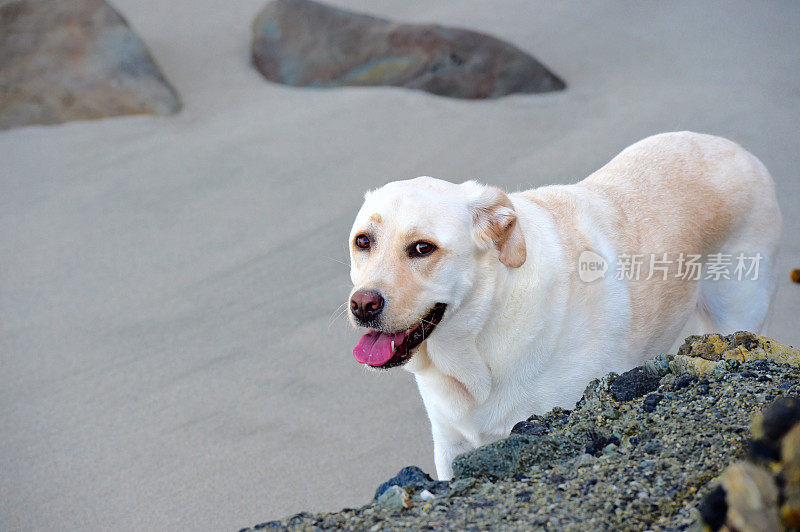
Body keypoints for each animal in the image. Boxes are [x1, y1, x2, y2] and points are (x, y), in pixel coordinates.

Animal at [346, 131, 780, 480]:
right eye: (362, 241)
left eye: (423, 248)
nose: (363, 304)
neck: (478, 347)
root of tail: (736, 148)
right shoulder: (450, 448)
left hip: (736, 311)